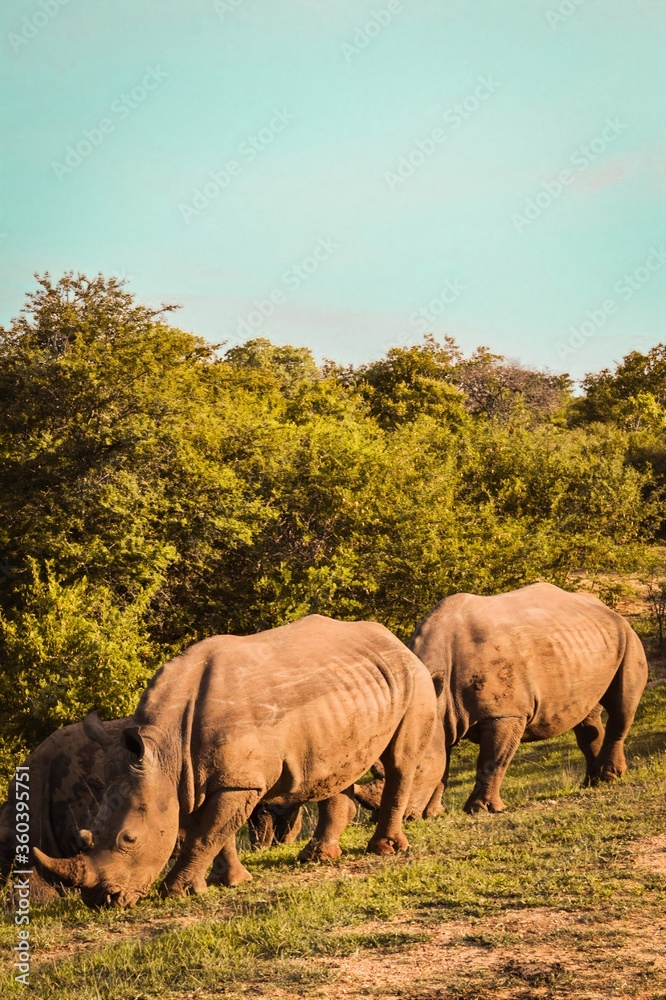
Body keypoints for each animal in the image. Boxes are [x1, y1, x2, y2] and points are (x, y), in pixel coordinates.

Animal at [33, 615, 439, 907]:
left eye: (129, 839)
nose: (103, 901)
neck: (165, 748)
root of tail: (394, 639)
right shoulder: (195, 779)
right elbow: (213, 832)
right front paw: (222, 883)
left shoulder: (236, 780)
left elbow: (205, 834)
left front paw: (175, 892)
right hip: (351, 688)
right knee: (338, 768)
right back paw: (317, 858)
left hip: (414, 677)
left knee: (400, 762)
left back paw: (384, 850)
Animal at [358, 583, 648, 816]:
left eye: (416, 768)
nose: (382, 818)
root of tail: (603, 605)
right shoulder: (439, 717)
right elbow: (443, 764)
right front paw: (433, 813)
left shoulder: (506, 713)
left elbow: (492, 760)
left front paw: (481, 809)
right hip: (582, 644)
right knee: (586, 717)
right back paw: (593, 782)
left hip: (627, 634)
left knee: (621, 707)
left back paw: (609, 776)